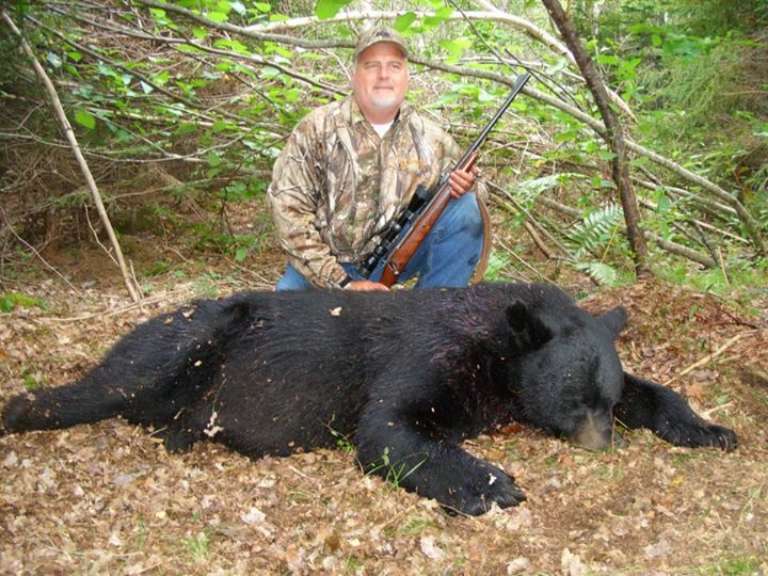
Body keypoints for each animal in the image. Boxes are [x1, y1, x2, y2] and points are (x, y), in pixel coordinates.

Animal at [1, 283, 737, 516]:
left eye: (602, 399)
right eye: (571, 397)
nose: (601, 445)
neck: (496, 346)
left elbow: (654, 389)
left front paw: (711, 427)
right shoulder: (430, 352)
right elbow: (387, 425)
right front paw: (490, 483)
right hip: (192, 333)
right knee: (109, 381)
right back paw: (23, 408)